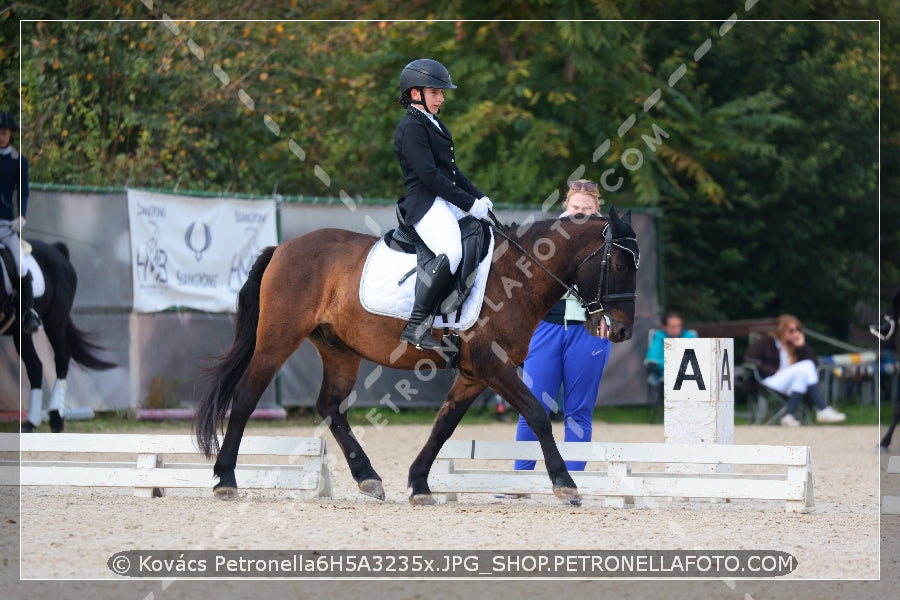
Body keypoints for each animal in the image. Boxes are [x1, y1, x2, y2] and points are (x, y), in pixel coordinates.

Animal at [0, 239, 118, 432]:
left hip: (54, 322)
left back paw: (56, 418)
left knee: (62, 358)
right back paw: (31, 422)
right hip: (22, 333)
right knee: (35, 366)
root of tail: (56, 249)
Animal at [195, 209, 640, 504]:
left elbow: (444, 426)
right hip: (278, 339)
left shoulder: (474, 374)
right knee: (247, 397)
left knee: (331, 406)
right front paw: (565, 483)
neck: (517, 275)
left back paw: (368, 478)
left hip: (340, 350)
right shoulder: (494, 366)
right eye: (620, 263)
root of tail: (282, 248)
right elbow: (537, 414)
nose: (621, 331)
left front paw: (419, 483)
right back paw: (226, 479)